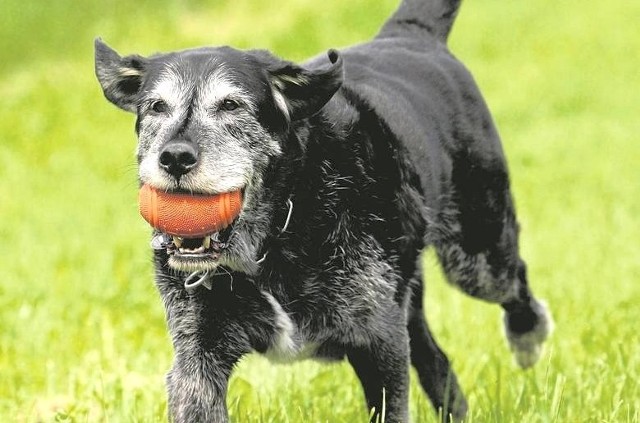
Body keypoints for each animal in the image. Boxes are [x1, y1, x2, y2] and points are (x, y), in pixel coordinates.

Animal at [94, 1, 552, 422]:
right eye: (156, 106)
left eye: (231, 105)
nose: (174, 157)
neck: (277, 230)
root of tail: (408, 35)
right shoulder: (198, 359)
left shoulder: (378, 341)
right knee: (434, 359)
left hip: (478, 254)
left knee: (515, 284)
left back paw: (528, 339)